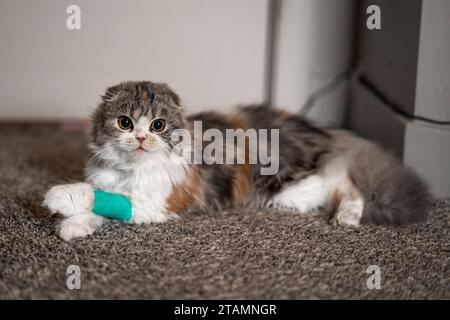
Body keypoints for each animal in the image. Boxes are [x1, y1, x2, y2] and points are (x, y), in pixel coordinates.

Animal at [43, 81, 432, 241]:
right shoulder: (114, 184)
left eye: (157, 125)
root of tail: (325, 132)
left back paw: (347, 218)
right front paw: (72, 227)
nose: (139, 138)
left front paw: (61, 198)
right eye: (125, 123)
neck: (130, 170)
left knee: (348, 185)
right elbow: (100, 207)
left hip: (292, 188)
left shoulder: (158, 202)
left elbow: (107, 201)